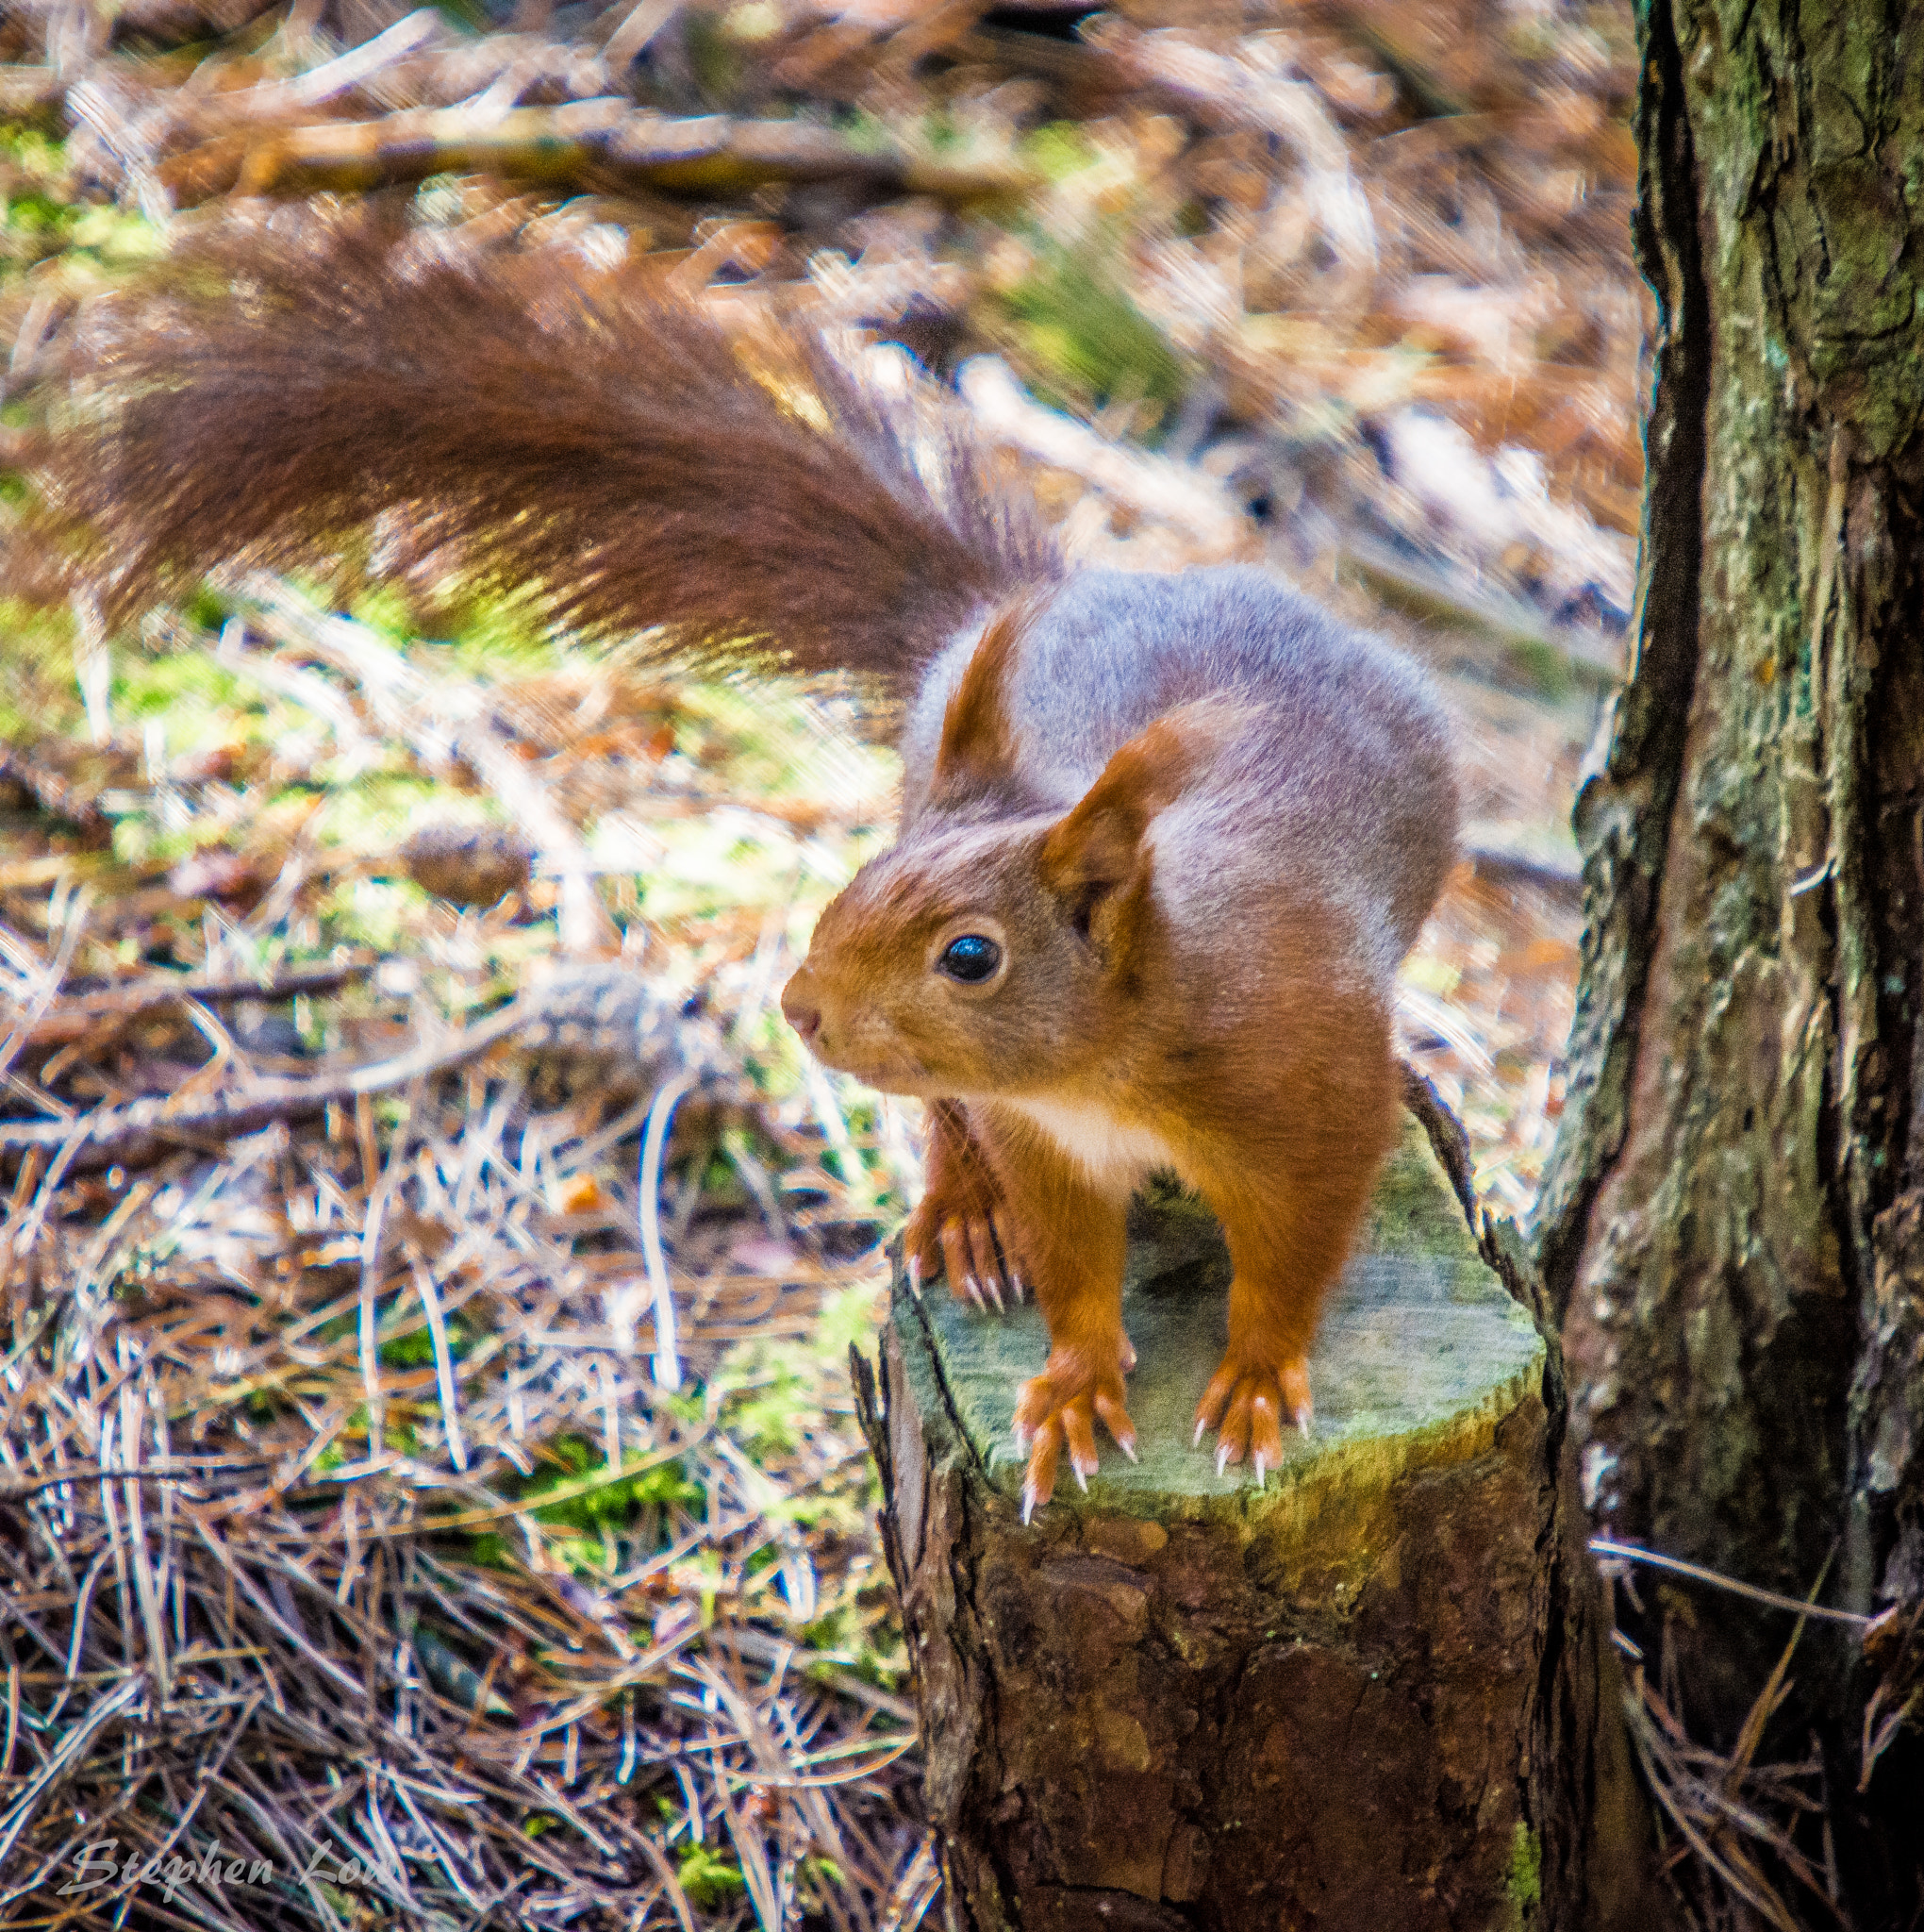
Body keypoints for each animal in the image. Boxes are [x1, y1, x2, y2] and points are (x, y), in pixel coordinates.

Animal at [22, 211, 1460, 1522]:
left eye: (971, 956)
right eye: (851, 891)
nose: (802, 1011)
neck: (1110, 1061)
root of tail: (1041, 599)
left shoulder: (1307, 1102)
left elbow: (1292, 1261)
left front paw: (1258, 1381)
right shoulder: (1042, 1141)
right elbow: (1070, 1265)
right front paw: (1068, 1386)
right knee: (945, 1127)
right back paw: (960, 1217)